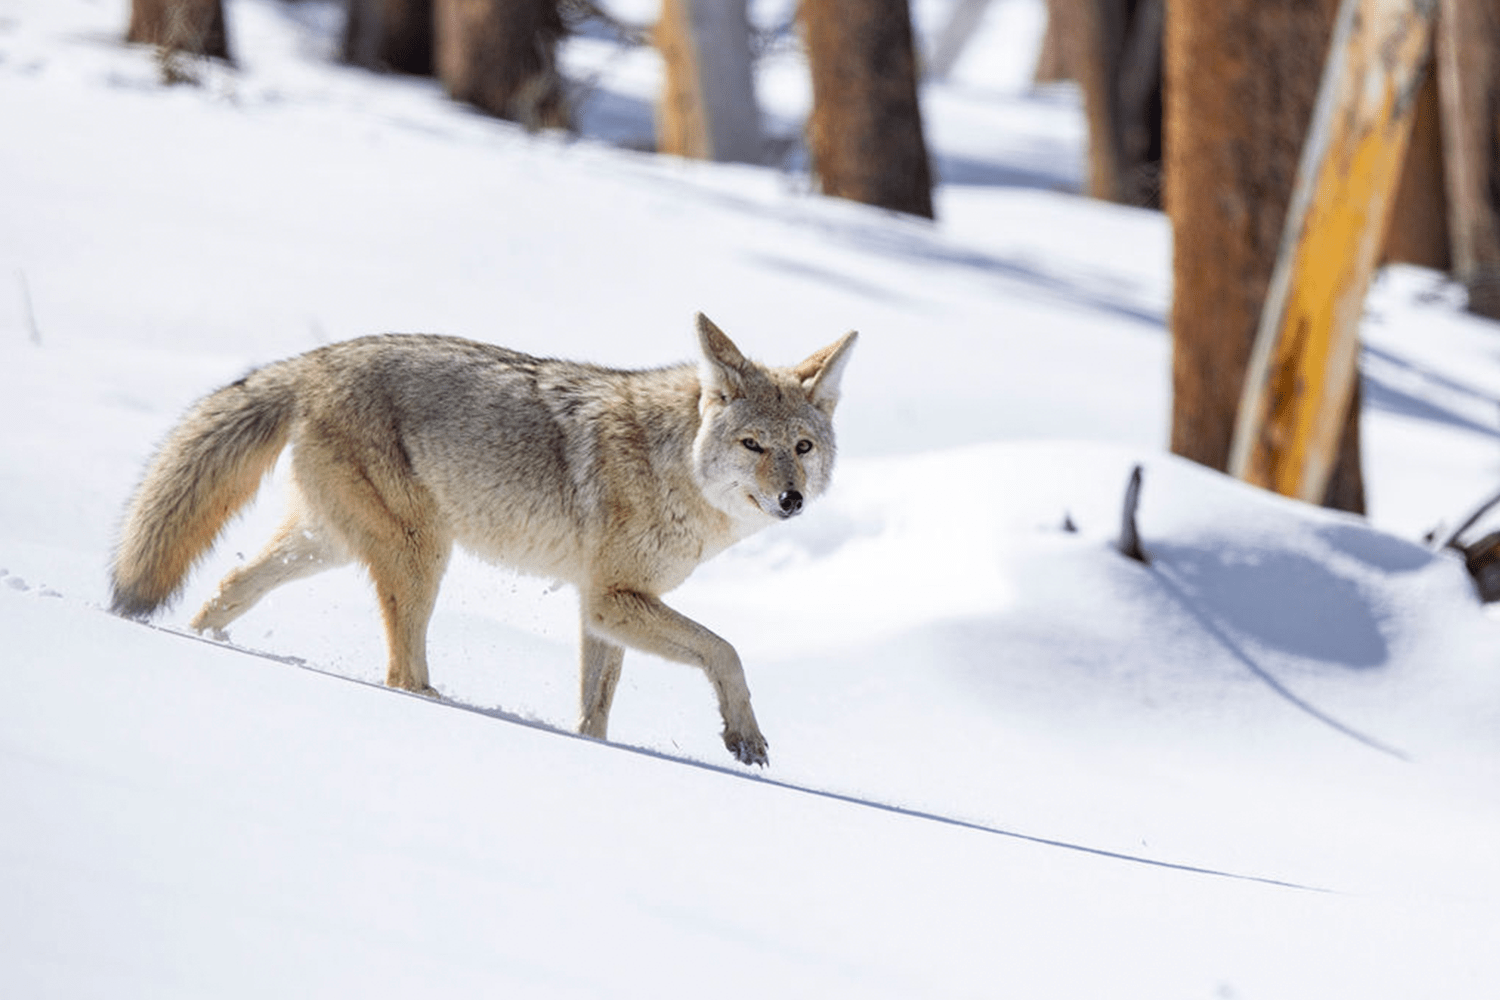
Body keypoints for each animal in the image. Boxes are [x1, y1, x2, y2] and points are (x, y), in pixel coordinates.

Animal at [110, 313, 856, 765]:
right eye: (753, 445)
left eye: (802, 447)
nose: (791, 500)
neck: (671, 464)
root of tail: (316, 359)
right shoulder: (613, 599)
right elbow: (725, 649)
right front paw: (744, 737)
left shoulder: (602, 609)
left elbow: (596, 711)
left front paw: (596, 754)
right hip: (420, 554)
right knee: (401, 674)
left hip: (328, 546)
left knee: (227, 587)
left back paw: (197, 641)